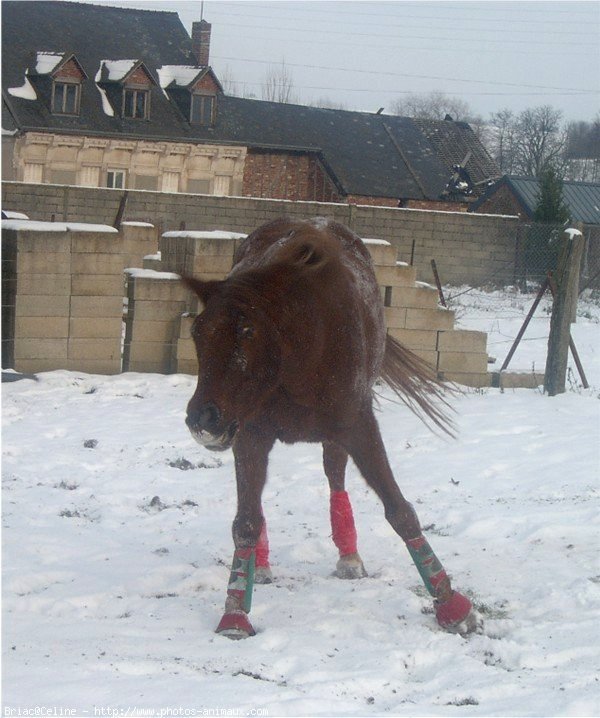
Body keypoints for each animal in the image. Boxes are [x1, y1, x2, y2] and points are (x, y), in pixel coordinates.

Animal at [185, 218, 476, 640]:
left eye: (248, 331)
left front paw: (452, 604)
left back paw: (349, 555)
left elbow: (400, 510)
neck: (302, 346)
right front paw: (235, 612)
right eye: (197, 332)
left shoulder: (358, 426)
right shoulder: (250, 433)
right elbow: (246, 520)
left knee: (335, 475)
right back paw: (262, 565)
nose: (202, 419)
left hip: (334, 435)